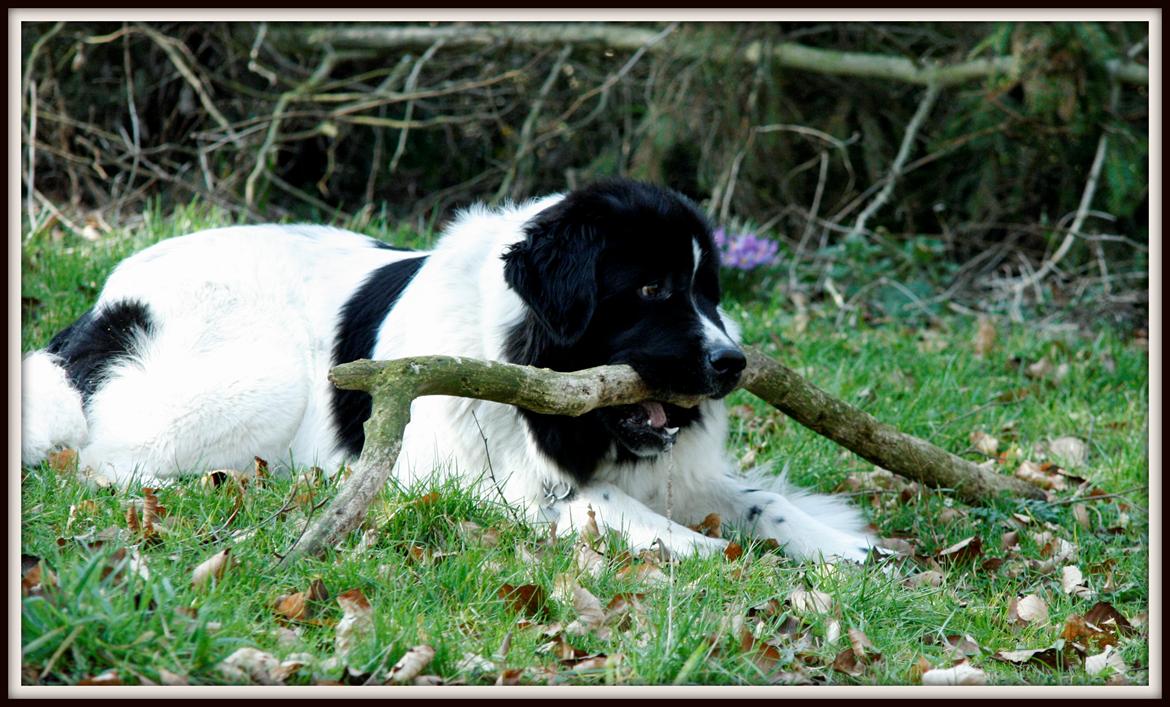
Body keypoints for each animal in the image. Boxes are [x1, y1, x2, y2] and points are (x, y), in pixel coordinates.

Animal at [22, 177, 875, 564]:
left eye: (708, 291)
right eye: (651, 290)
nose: (732, 362)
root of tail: (102, 304)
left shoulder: (680, 471)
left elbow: (761, 500)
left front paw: (843, 548)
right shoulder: (492, 479)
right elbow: (612, 508)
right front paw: (709, 556)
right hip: (266, 376)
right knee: (104, 457)